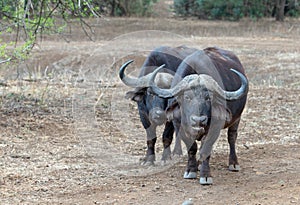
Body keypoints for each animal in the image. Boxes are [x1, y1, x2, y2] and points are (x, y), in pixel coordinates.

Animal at [148, 47, 248, 185]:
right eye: (187, 97)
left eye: (208, 97)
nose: (198, 120)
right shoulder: (178, 125)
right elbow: (192, 148)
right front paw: (191, 170)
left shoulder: (215, 128)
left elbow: (206, 149)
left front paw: (205, 176)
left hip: (237, 119)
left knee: (232, 137)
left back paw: (233, 164)